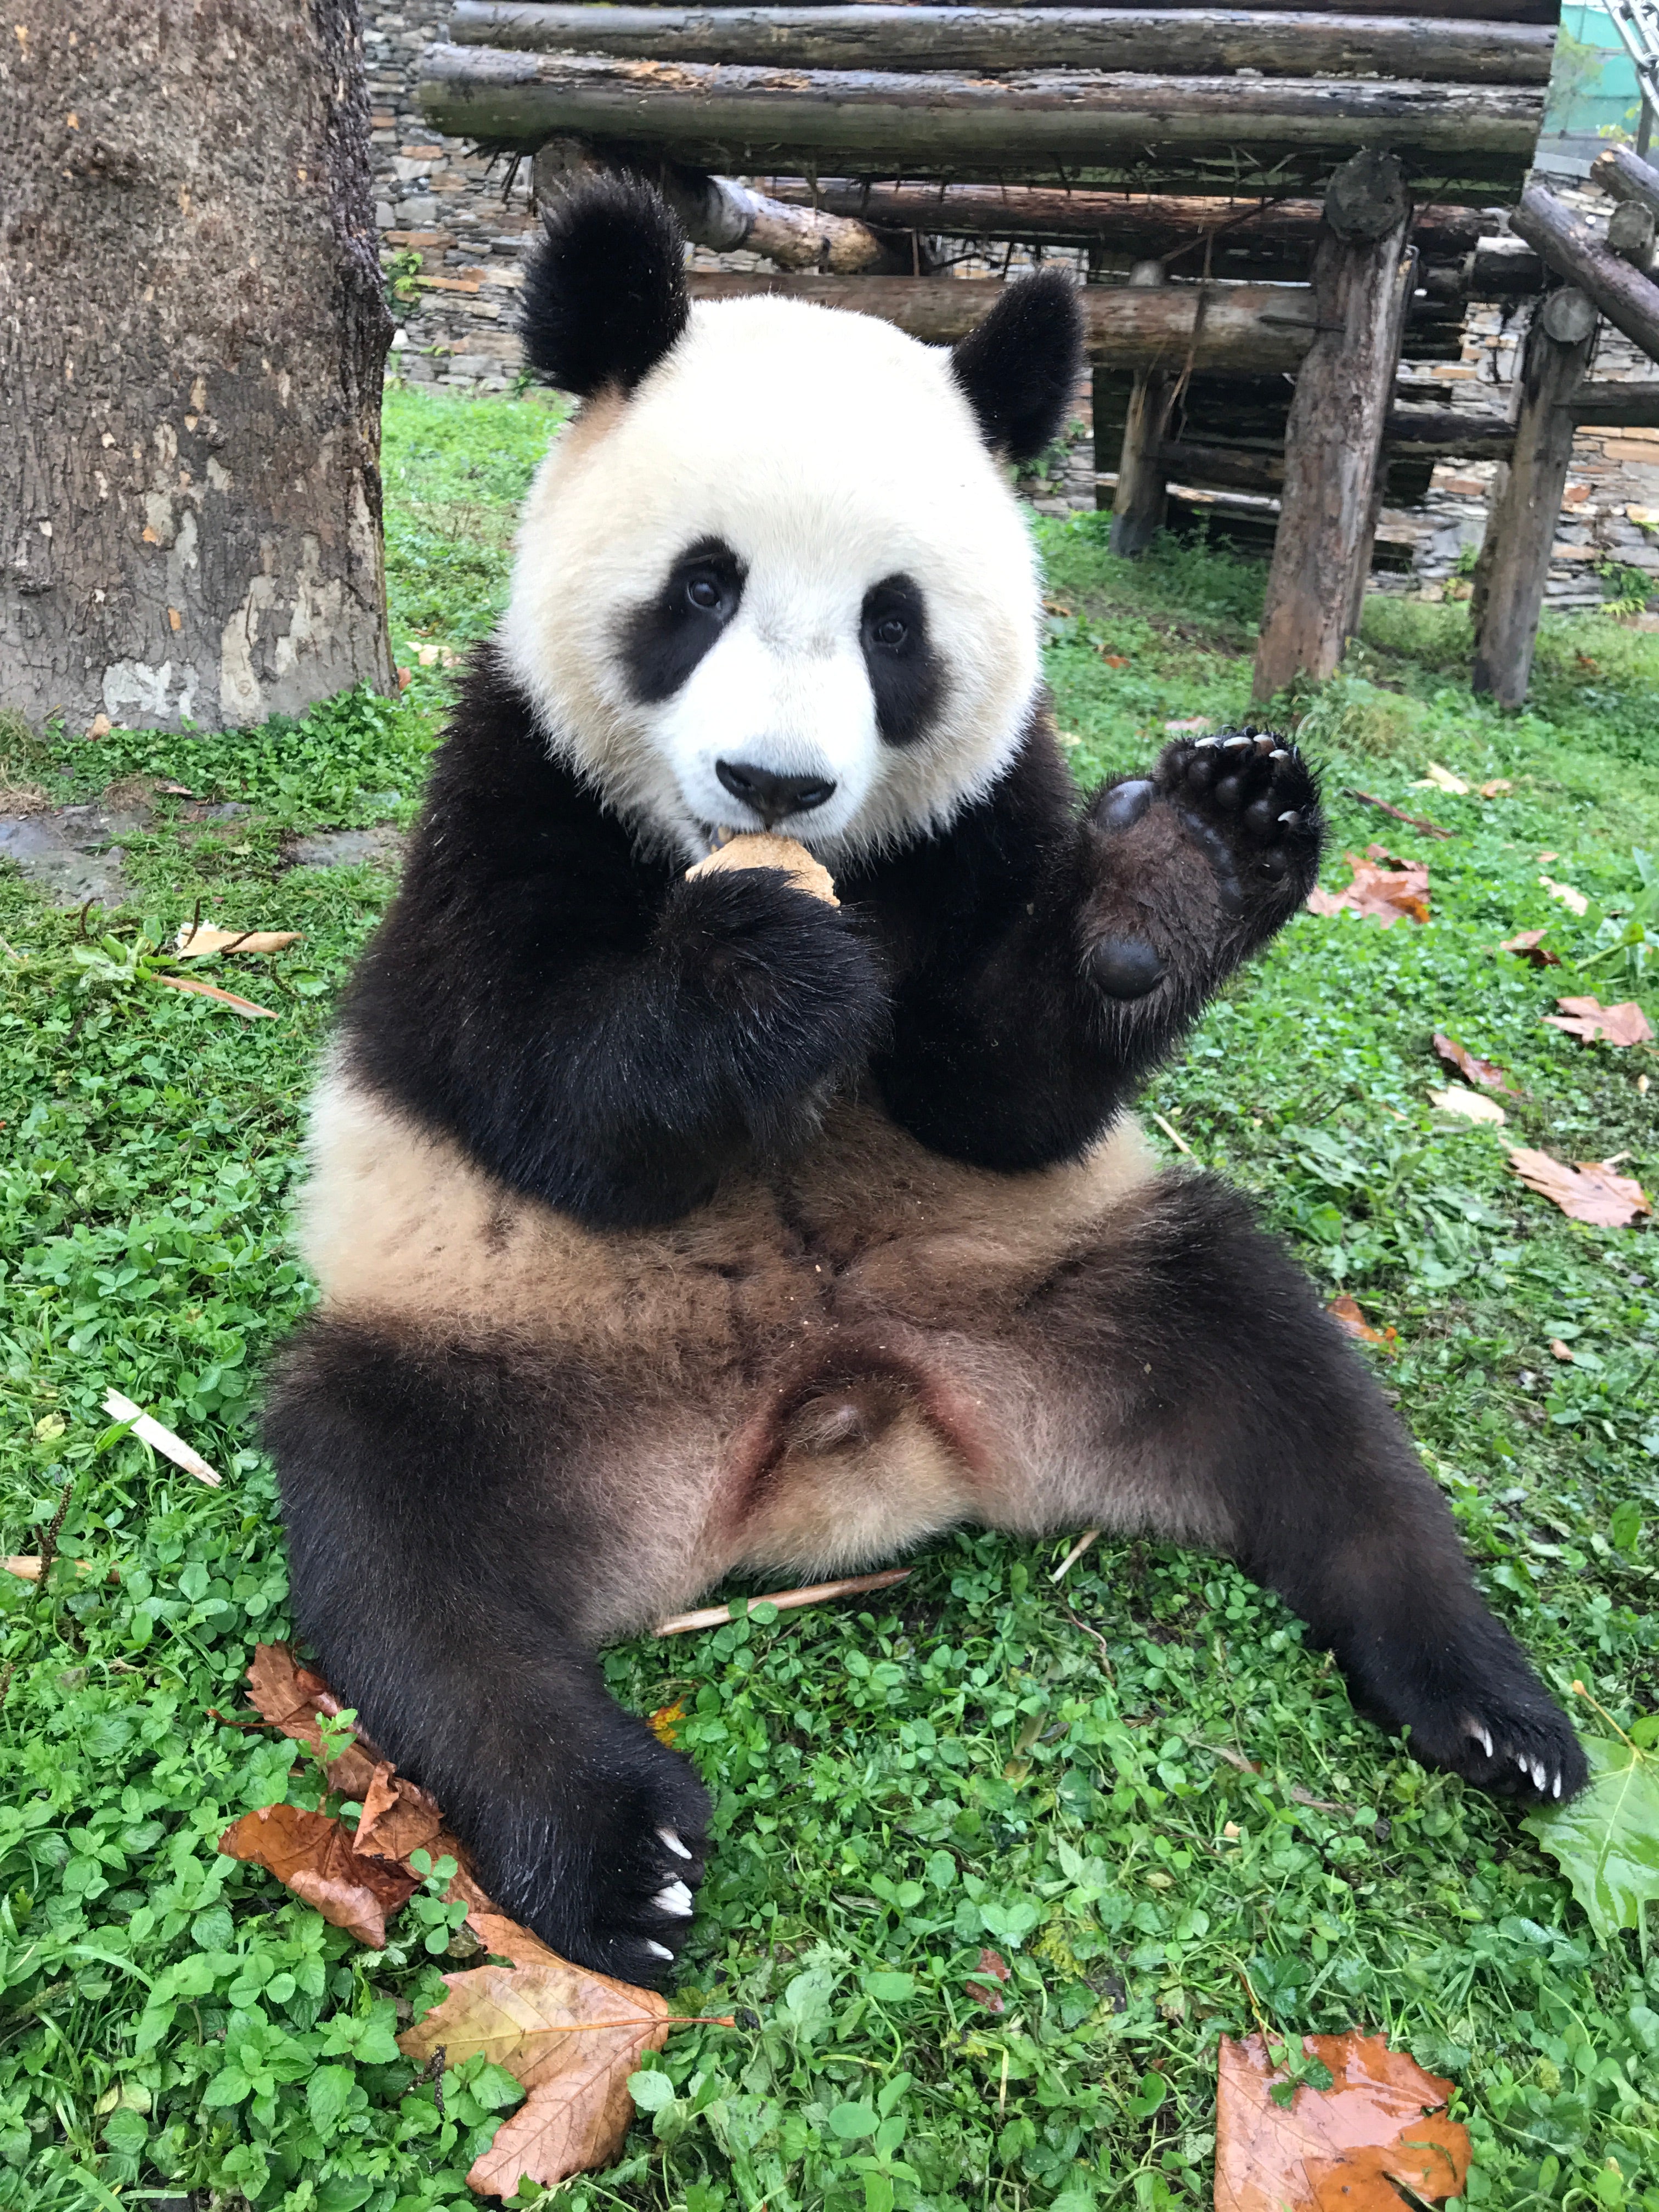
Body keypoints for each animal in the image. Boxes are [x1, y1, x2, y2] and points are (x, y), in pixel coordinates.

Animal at [269, 181, 1583, 1999]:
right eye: (701, 587)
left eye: (894, 624)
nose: (775, 784)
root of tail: (845, 1420)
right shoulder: (509, 778)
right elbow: (532, 1089)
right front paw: (759, 982)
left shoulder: (985, 815)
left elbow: (1001, 1094)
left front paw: (1192, 863)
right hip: (502, 1350)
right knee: (402, 1554)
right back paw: (611, 1846)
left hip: (1061, 1282)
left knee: (1295, 1385)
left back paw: (1486, 1697)